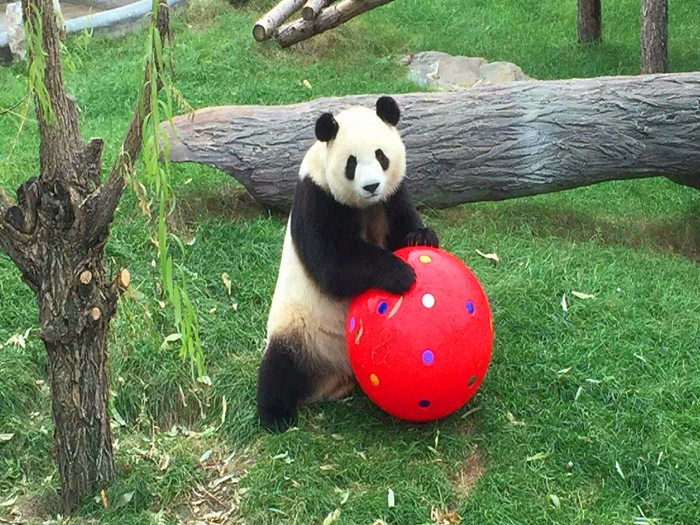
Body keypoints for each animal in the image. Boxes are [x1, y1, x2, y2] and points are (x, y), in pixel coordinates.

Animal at [258, 97, 438, 430]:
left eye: (381, 156)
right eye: (351, 163)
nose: (371, 186)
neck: (366, 206)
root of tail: (330, 381)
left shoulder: (391, 196)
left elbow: (402, 224)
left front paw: (422, 237)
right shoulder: (317, 196)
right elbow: (333, 264)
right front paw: (401, 274)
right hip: (299, 330)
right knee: (279, 368)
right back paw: (276, 416)